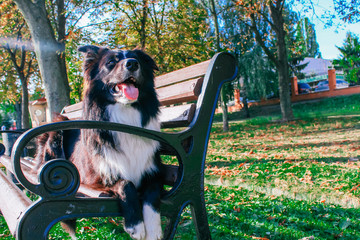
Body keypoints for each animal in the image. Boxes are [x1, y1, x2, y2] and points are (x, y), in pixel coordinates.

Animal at [35, 45, 162, 240]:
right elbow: (126, 184)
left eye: (137, 60)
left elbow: (153, 194)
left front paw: (153, 229)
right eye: (111, 62)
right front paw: (136, 225)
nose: (132, 64)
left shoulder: (154, 171)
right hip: (56, 129)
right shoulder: (92, 179)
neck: (125, 114)